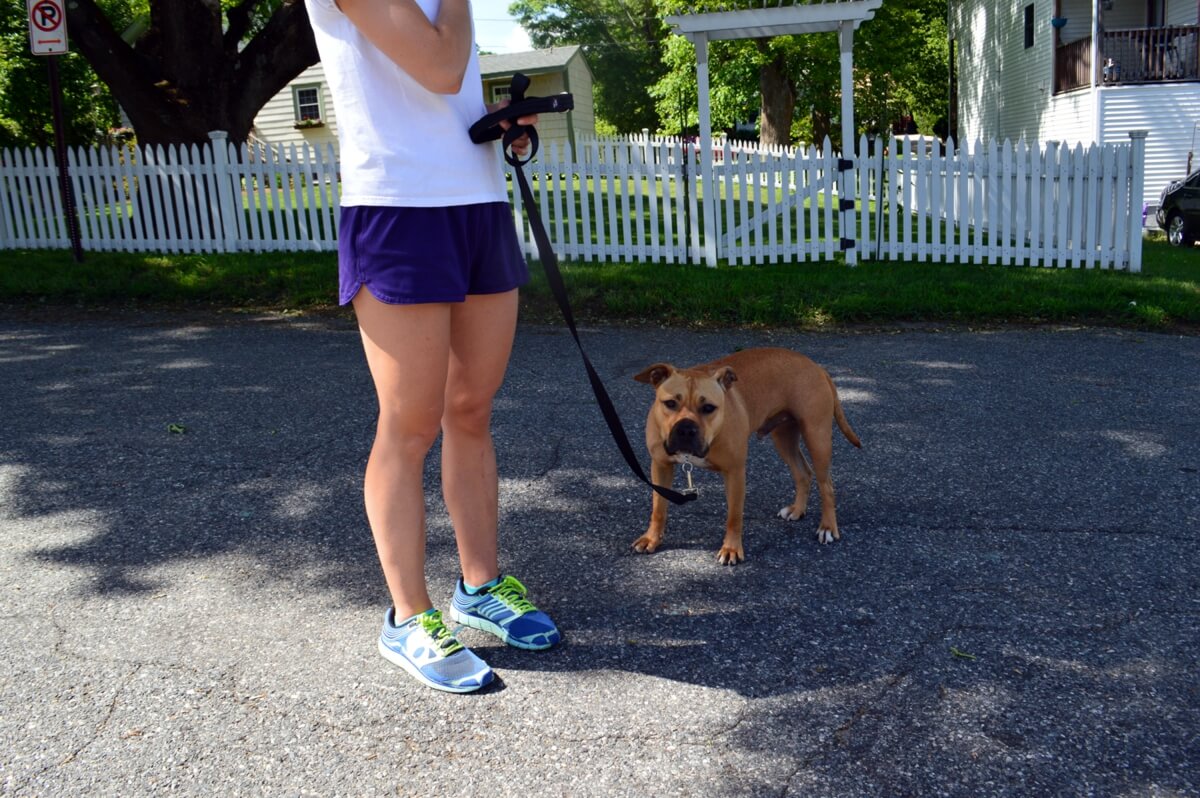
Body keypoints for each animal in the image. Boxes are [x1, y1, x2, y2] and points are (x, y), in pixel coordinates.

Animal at [633, 345, 859, 564]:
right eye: (670, 403)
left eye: (708, 408)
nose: (686, 429)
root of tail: (816, 366)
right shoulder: (660, 466)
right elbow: (658, 508)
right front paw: (651, 539)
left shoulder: (735, 473)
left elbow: (734, 516)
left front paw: (731, 549)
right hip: (784, 439)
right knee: (803, 473)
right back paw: (797, 510)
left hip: (817, 438)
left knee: (826, 485)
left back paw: (827, 527)